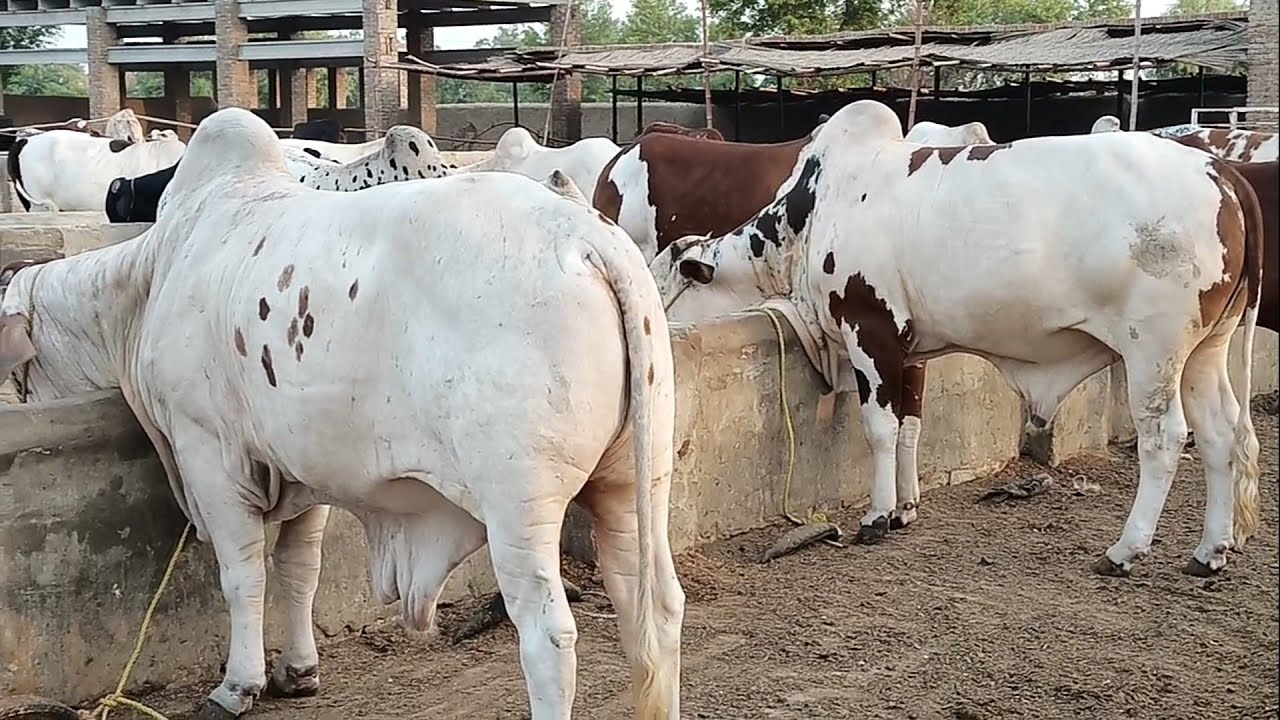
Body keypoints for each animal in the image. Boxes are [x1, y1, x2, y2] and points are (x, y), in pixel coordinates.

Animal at [651, 99, 1263, 578]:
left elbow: (879, 429)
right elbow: (909, 427)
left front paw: (875, 517)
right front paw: (905, 509)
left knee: (1164, 439)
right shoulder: (911, 349)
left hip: (1153, 352)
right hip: (1205, 352)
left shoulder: (869, 331)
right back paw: (1209, 551)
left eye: (666, 285)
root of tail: (1221, 171)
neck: (815, 213)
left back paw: (1125, 550)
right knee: (1220, 433)